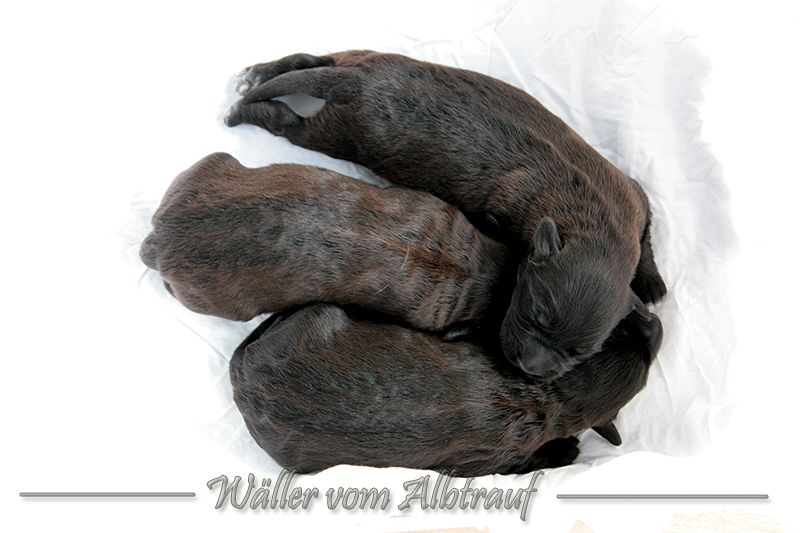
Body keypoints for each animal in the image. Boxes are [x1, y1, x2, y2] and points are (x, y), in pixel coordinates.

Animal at [225, 50, 667, 379]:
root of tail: (360, 83)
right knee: (288, 119)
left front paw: (651, 282)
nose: (529, 368)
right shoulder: (505, 215)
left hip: (365, 61)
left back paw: (257, 73)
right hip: (338, 132)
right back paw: (243, 110)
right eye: (534, 314)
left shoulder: (632, 194)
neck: (596, 225)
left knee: (310, 59)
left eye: (580, 352)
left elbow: (647, 231)